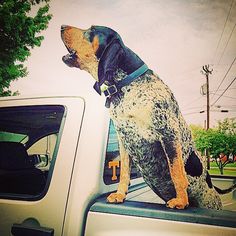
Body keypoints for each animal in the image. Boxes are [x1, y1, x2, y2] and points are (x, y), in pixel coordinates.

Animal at [60, 24, 234, 210]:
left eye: (91, 30)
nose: (61, 26)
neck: (126, 85)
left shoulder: (168, 132)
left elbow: (176, 171)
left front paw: (180, 201)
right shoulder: (123, 139)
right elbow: (124, 172)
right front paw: (120, 195)